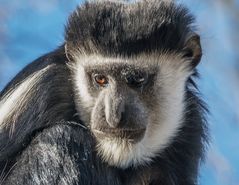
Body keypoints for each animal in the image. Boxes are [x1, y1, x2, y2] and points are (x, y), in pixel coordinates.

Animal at [0, 0, 207, 184]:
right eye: (100, 79)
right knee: (63, 137)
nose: (113, 116)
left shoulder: (190, 127)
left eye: (136, 79)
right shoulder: (45, 87)